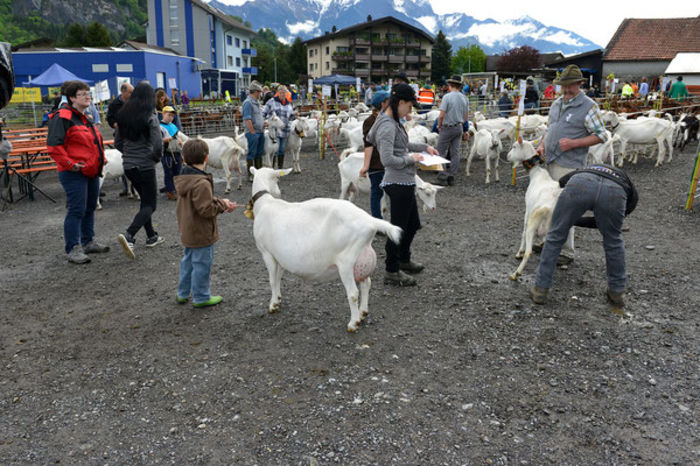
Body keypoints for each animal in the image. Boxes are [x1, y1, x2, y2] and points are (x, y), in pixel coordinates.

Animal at [249, 167, 402, 332]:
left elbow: (272, 280)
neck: (265, 203)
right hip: (362, 259)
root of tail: (370, 221)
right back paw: (362, 313)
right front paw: (277, 299)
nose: (278, 192)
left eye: (277, 179)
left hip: (346, 261)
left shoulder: (267, 253)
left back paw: (353, 323)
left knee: (353, 293)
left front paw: (272, 305)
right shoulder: (280, 256)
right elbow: (277, 278)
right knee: (366, 283)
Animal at [506, 138, 568, 280]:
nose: (507, 156)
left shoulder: (528, 210)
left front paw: (519, 252)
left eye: (514, 146)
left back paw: (516, 274)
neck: (536, 173)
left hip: (533, 224)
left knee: (529, 252)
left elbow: (523, 232)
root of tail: (549, 208)